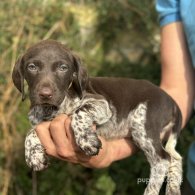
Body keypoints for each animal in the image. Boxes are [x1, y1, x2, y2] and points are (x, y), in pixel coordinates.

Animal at [11, 39, 183, 195]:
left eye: (63, 68)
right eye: (32, 67)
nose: (45, 94)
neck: (51, 109)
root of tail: (171, 101)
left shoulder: (102, 104)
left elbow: (78, 113)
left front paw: (86, 139)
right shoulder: (39, 122)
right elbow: (31, 132)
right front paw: (33, 155)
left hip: (143, 126)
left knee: (162, 160)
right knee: (175, 159)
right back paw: (173, 189)